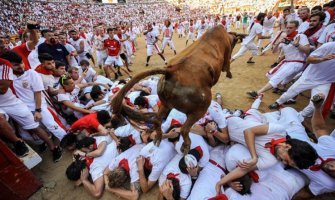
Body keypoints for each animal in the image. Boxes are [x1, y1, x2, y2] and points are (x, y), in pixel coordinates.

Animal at [113, 24, 239, 153]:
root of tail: (171, 72)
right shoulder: (226, 57)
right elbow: (227, 65)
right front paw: (229, 74)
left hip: (165, 104)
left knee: (157, 120)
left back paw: (158, 138)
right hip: (200, 109)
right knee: (184, 129)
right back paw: (186, 146)